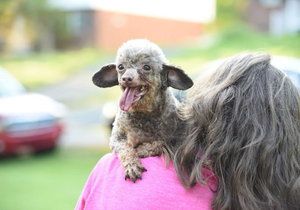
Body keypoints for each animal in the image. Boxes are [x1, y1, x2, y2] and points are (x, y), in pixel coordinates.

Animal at [92, 39, 193, 182]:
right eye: (121, 67)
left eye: (146, 67)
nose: (126, 78)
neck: (142, 114)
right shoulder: (116, 139)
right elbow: (126, 149)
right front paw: (132, 165)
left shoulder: (174, 140)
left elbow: (158, 143)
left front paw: (140, 150)